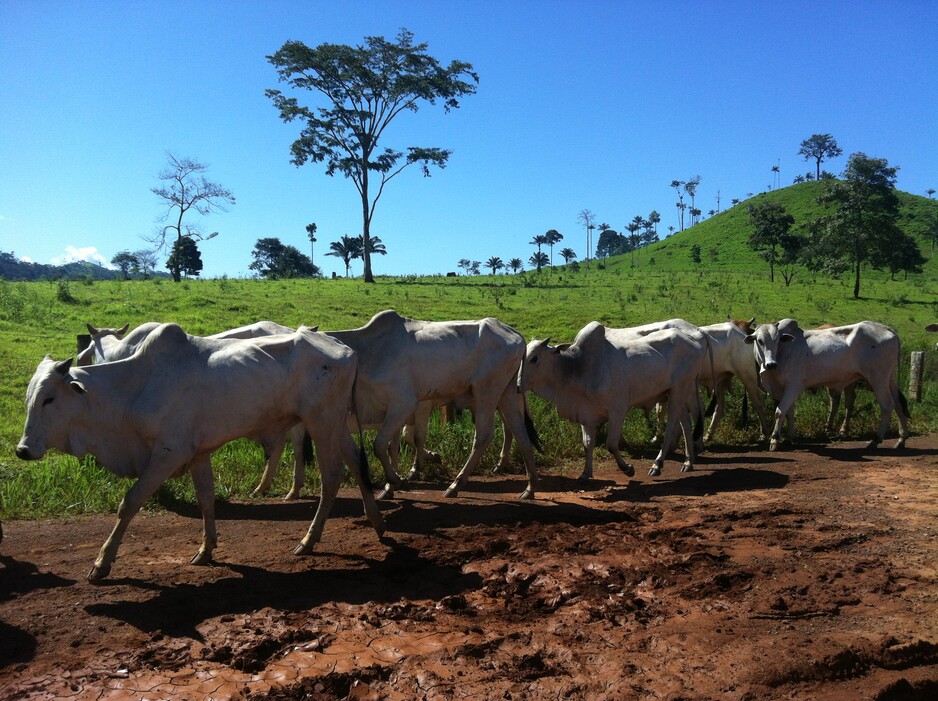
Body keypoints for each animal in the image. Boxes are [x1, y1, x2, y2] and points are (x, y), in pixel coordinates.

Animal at [16, 324, 385, 581]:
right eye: (30, 397)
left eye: (49, 398)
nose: (22, 449)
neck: (134, 388)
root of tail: (345, 348)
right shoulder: (198, 453)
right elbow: (206, 498)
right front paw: (206, 550)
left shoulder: (168, 454)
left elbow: (129, 503)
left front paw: (101, 563)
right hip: (334, 424)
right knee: (356, 461)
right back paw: (377, 523)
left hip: (322, 422)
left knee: (332, 476)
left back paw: (309, 541)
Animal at [327, 310, 541, 499]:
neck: (368, 352)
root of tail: (517, 335)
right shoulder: (391, 413)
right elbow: (393, 445)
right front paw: (390, 487)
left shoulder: (403, 404)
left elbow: (380, 445)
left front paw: (397, 480)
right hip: (507, 393)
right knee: (521, 434)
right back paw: (530, 487)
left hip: (487, 391)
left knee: (484, 435)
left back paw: (455, 485)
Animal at [518, 322, 706, 479]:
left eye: (534, 358)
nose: (518, 385)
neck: (578, 368)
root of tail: (694, 342)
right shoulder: (586, 414)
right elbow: (587, 444)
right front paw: (586, 473)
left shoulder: (618, 410)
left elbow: (611, 445)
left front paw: (628, 468)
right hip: (677, 392)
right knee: (686, 423)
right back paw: (688, 462)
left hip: (680, 389)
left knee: (672, 426)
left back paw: (657, 464)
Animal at [744, 319, 910, 451]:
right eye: (759, 340)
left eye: (777, 340)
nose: (771, 364)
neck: (783, 352)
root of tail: (889, 330)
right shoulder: (783, 389)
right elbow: (789, 412)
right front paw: (791, 437)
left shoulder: (794, 386)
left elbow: (780, 411)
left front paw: (774, 440)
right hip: (889, 378)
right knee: (898, 404)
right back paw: (901, 440)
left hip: (878, 379)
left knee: (887, 406)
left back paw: (876, 440)